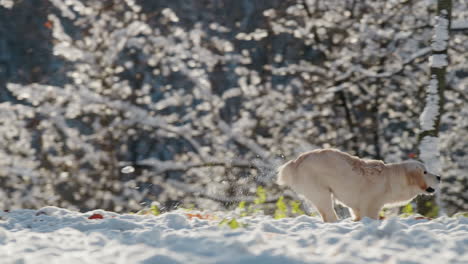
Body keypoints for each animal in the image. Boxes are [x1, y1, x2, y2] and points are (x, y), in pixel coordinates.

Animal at [276, 150, 440, 222]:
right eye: (425, 172)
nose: (439, 177)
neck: (390, 180)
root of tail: (295, 162)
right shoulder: (370, 206)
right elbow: (371, 217)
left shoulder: (357, 208)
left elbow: (357, 216)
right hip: (322, 194)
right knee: (329, 215)